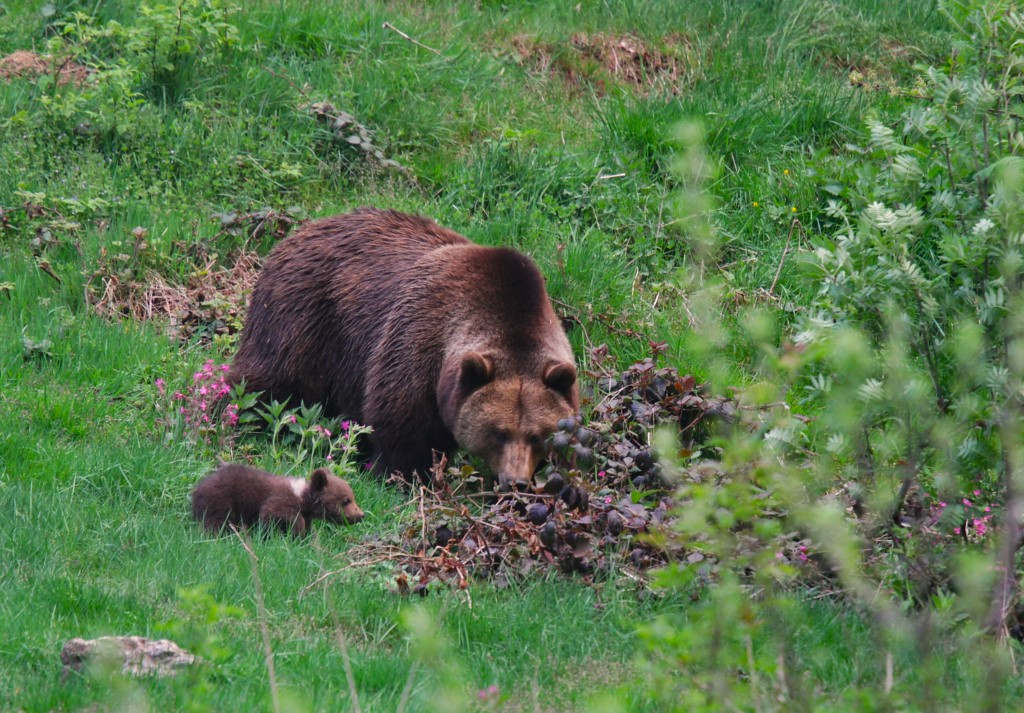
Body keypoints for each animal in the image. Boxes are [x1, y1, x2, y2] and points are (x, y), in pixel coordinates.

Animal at [233, 207, 581, 489]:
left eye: (536, 435)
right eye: (499, 431)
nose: (516, 481)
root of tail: (301, 230)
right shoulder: (417, 342)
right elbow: (404, 428)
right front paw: (403, 477)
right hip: (303, 316)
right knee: (271, 381)